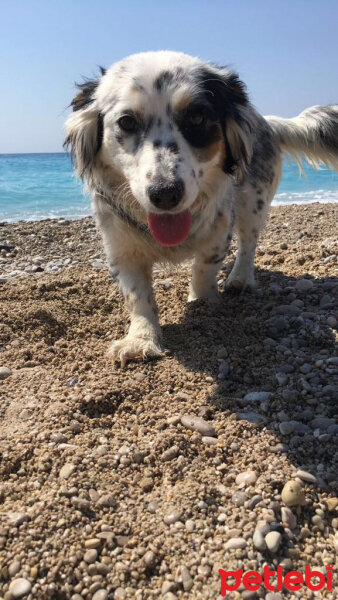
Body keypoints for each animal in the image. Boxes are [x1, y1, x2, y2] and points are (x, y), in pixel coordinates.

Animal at [64, 50, 338, 366]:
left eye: (196, 117)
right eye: (127, 122)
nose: (165, 194)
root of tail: (267, 120)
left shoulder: (218, 232)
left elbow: (204, 270)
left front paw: (203, 305)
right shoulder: (121, 248)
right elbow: (138, 296)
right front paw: (141, 339)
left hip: (253, 201)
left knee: (249, 243)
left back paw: (240, 278)